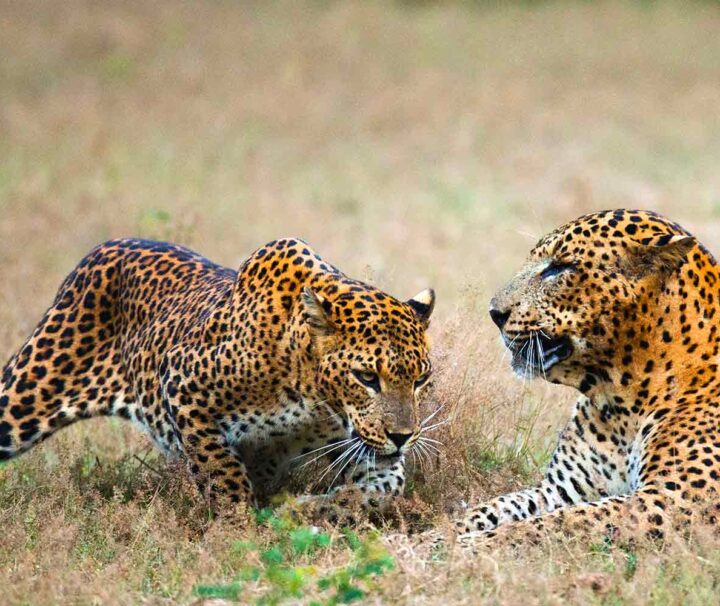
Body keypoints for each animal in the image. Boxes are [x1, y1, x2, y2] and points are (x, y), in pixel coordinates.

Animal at [0, 238, 438, 512]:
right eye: (367, 378)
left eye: (420, 380)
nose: (403, 436)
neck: (313, 398)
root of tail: (105, 247)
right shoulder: (181, 385)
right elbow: (220, 472)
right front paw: (238, 530)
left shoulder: (365, 448)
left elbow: (383, 491)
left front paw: (307, 511)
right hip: (25, 395)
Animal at [452, 210, 716, 552]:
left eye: (560, 268)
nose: (494, 313)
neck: (620, 399)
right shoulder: (560, 490)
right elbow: (492, 508)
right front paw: (426, 538)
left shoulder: (675, 500)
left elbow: (559, 523)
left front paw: (463, 547)